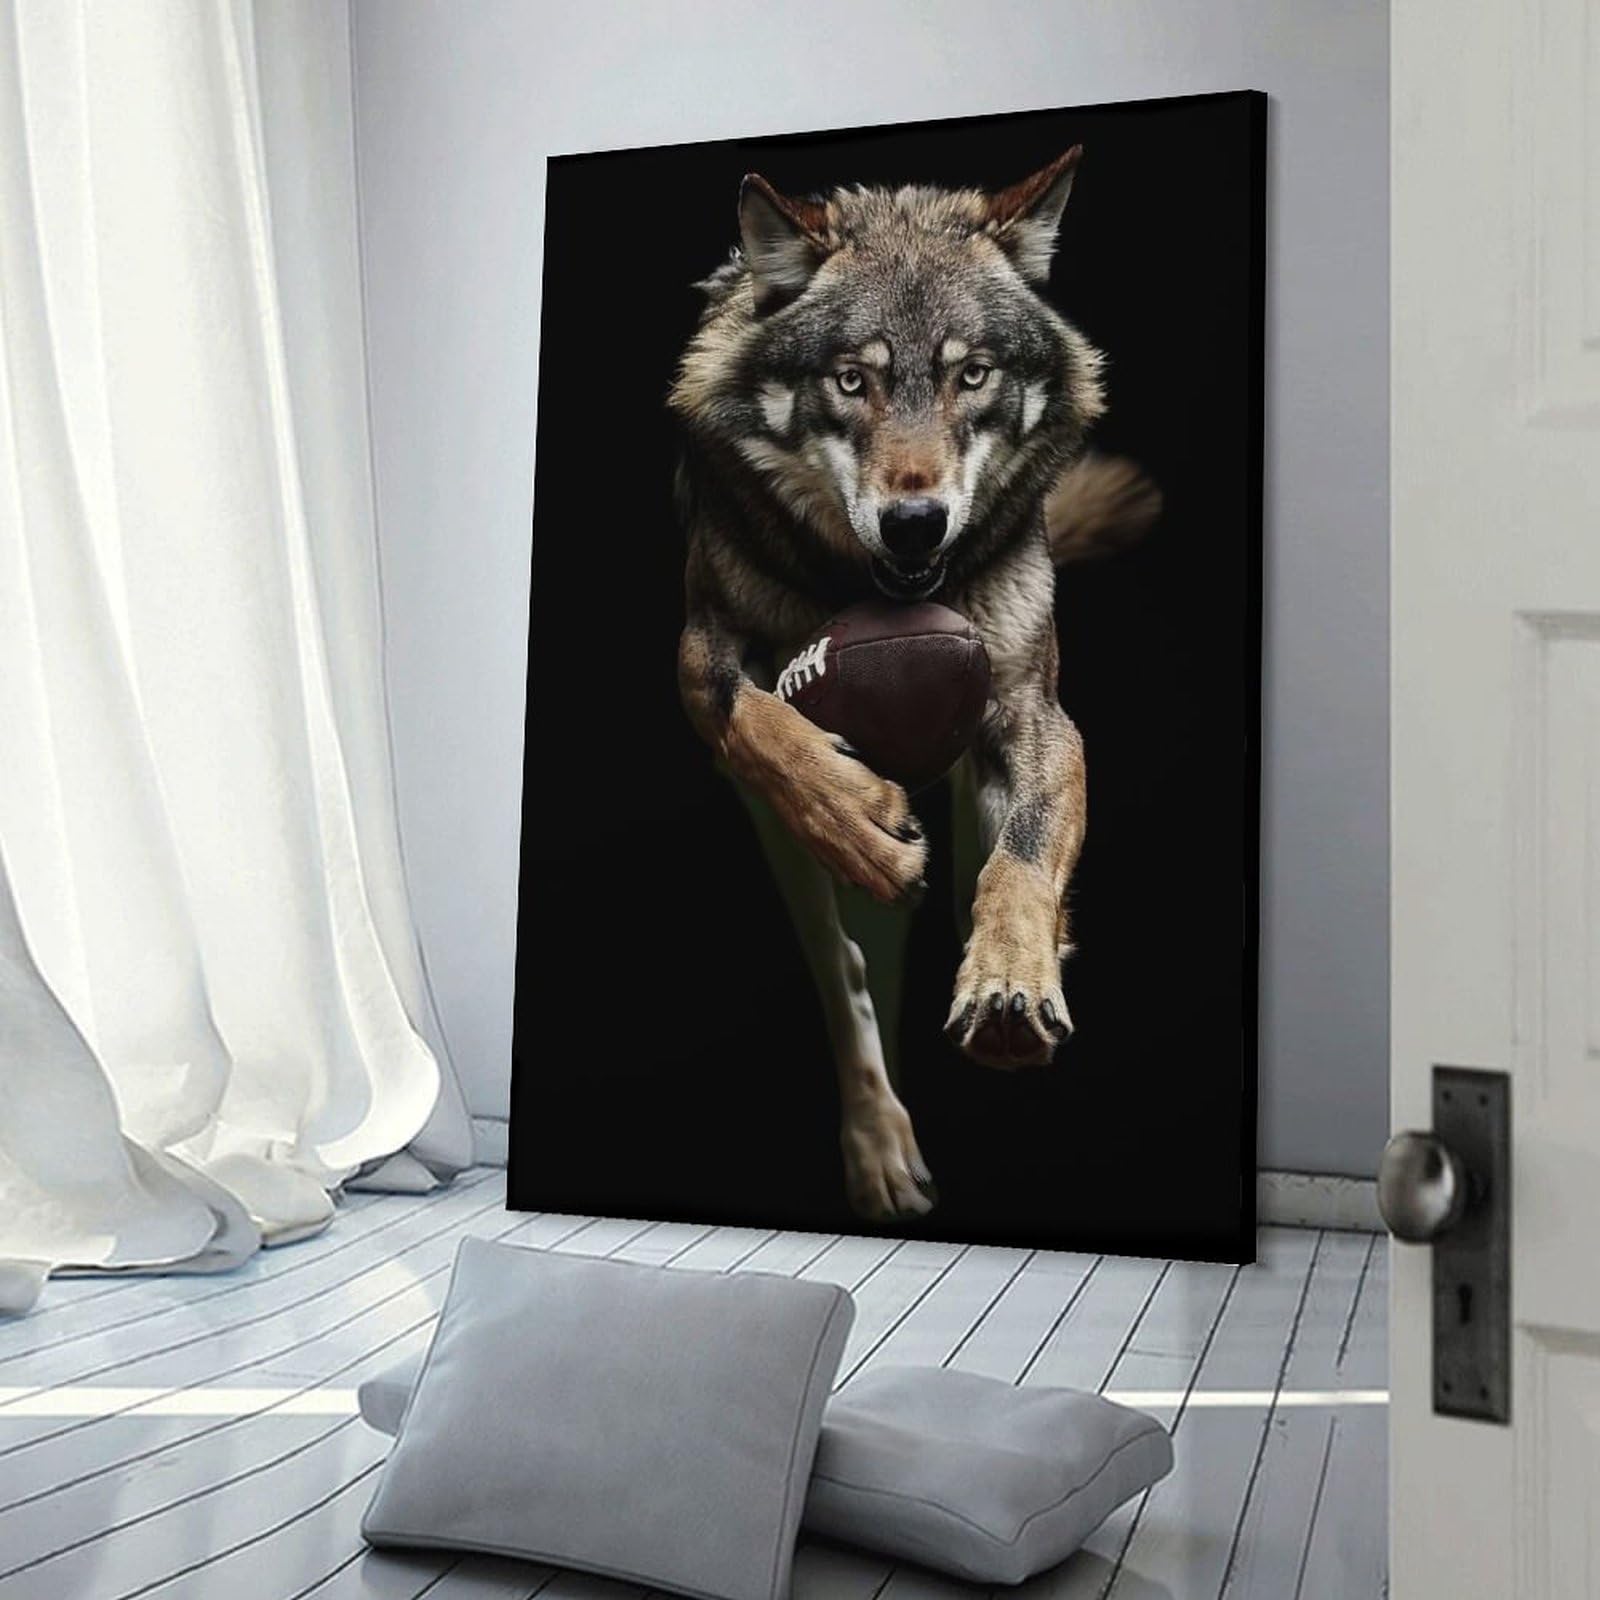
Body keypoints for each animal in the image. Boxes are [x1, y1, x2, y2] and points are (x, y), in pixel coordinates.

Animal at [669, 150, 1158, 1221]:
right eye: (853, 381)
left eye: (971, 375)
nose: (915, 524)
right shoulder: (699, 654)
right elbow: (759, 720)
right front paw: (858, 822)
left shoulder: (1035, 716)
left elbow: (1019, 860)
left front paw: (1011, 980)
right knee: (844, 961)